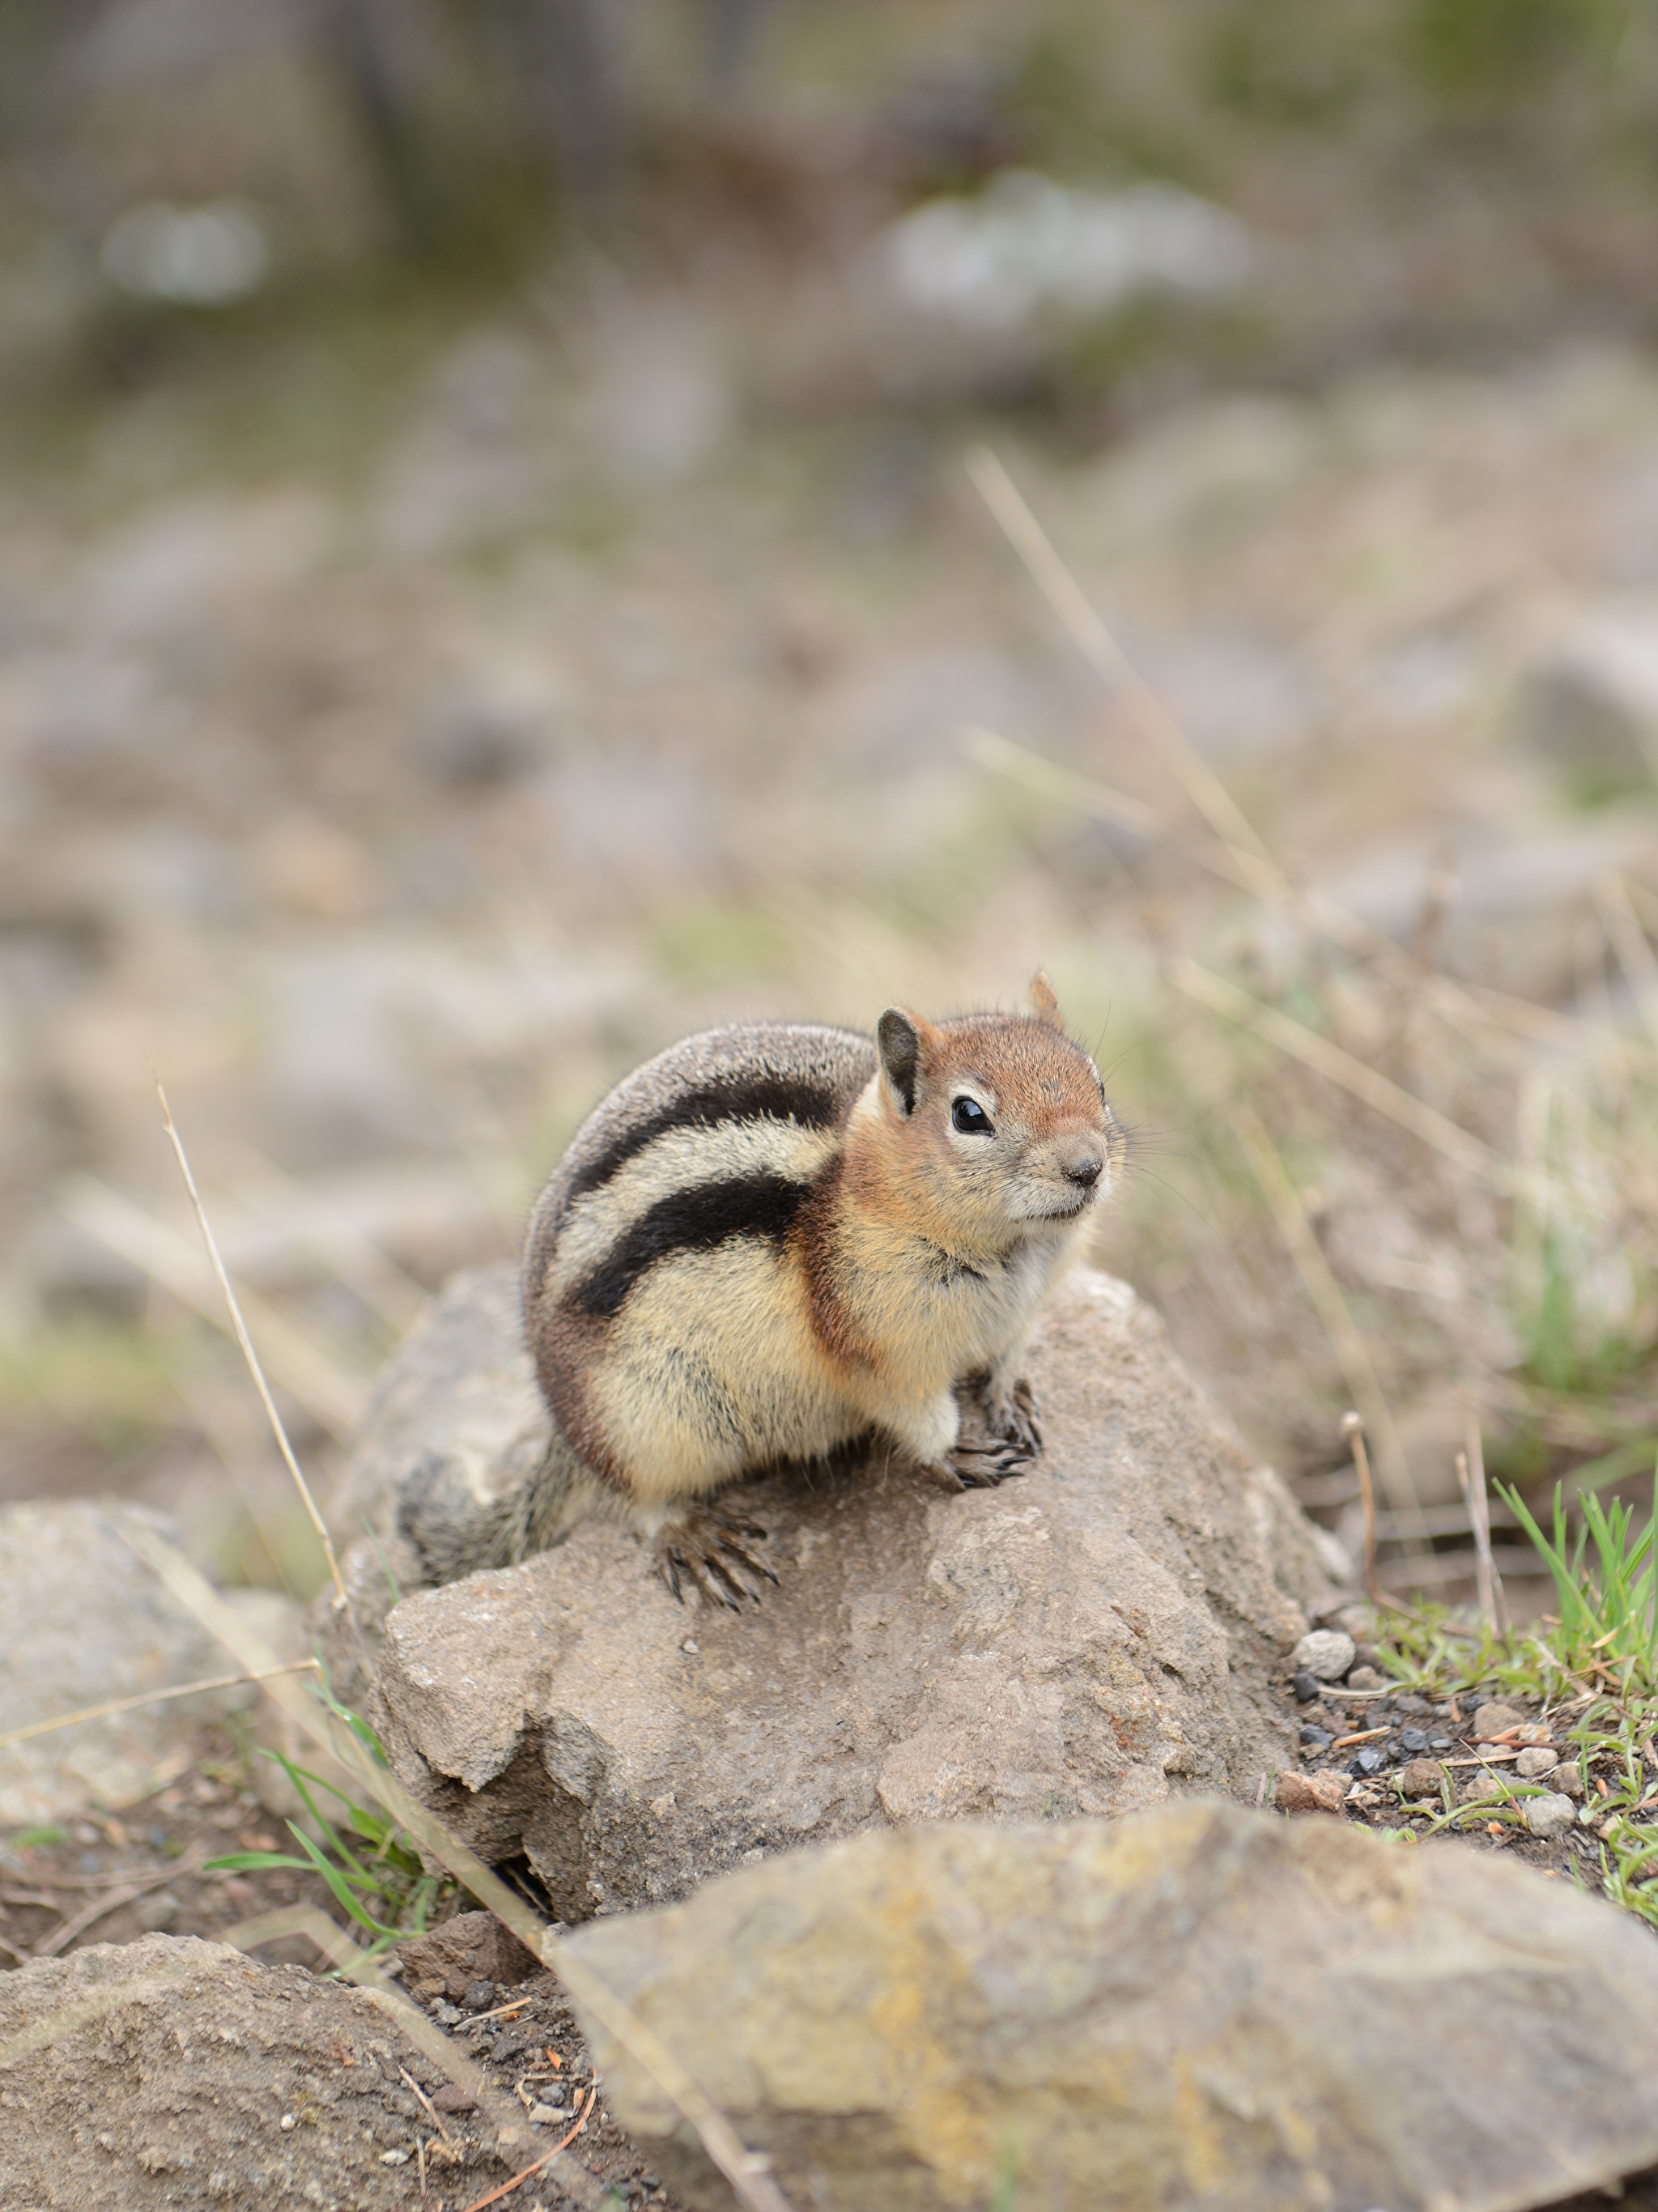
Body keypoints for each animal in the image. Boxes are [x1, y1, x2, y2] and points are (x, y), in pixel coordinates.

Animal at [406, 977, 1132, 1601]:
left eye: (1097, 1080)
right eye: (970, 1114)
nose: (1087, 1167)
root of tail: (562, 1422)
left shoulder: (1022, 1312)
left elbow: (1009, 1353)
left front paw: (1012, 1395)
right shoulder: (876, 1343)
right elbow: (911, 1411)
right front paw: (956, 1448)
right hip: (639, 1417)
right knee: (634, 1497)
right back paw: (696, 1536)